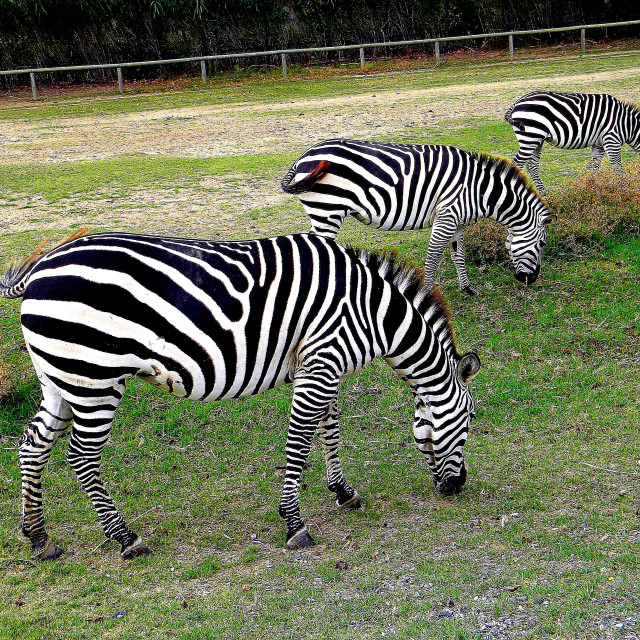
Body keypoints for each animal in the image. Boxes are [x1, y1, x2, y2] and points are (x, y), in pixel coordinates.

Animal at [1, 231, 480, 560]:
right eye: (470, 423)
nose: (457, 488)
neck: (373, 312)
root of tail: (41, 266)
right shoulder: (322, 361)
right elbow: (300, 440)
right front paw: (294, 523)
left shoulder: (320, 361)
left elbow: (330, 426)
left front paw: (343, 491)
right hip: (95, 376)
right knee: (81, 456)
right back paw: (126, 538)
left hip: (60, 377)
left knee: (33, 445)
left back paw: (39, 536)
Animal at [280, 139, 556, 296]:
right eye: (542, 244)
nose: (531, 280)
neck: (480, 189)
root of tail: (303, 156)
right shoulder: (447, 216)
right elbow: (433, 258)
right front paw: (426, 293)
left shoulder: (458, 223)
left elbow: (458, 255)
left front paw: (467, 288)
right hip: (327, 210)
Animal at [504, 89, 640, 196]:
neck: (628, 124)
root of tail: (516, 102)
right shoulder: (612, 140)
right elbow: (617, 169)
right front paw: (623, 191)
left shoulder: (599, 144)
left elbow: (594, 168)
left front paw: (591, 190)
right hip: (530, 138)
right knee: (517, 164)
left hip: (536, 140)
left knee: (532, 165)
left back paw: (545, 195)